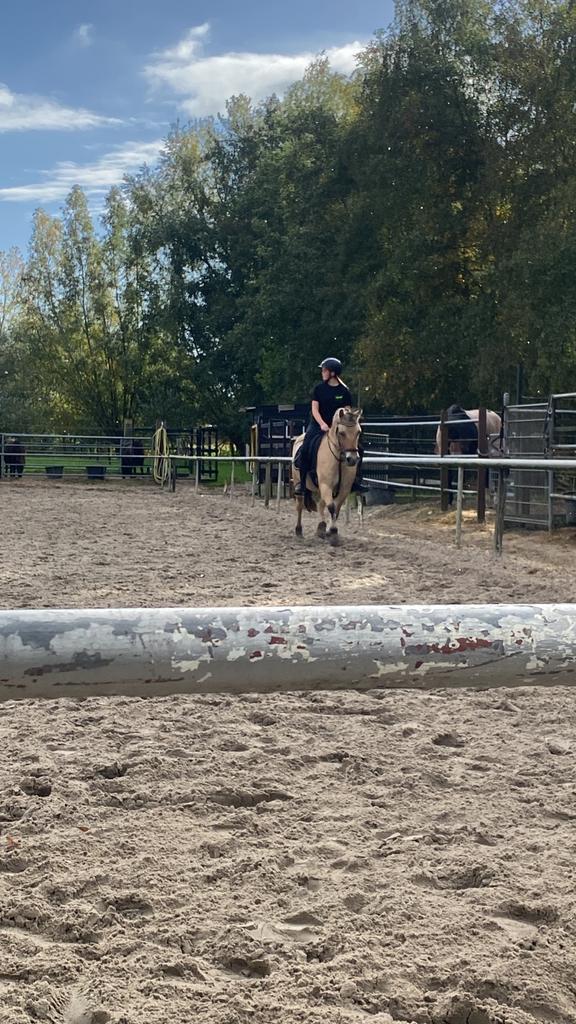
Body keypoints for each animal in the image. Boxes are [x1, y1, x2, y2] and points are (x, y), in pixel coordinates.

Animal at [291, 407, 362, 546]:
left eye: (358, 432)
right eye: (342, 433)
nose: (352, 459)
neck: (339, 458)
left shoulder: (343, 489)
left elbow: (336, 509)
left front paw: (329, 531)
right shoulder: (326, 485)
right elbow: (332, 507)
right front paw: (333, 532)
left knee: (320, 505)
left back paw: (321, 528)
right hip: (299, 483)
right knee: (300, 506)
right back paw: (299, 531)